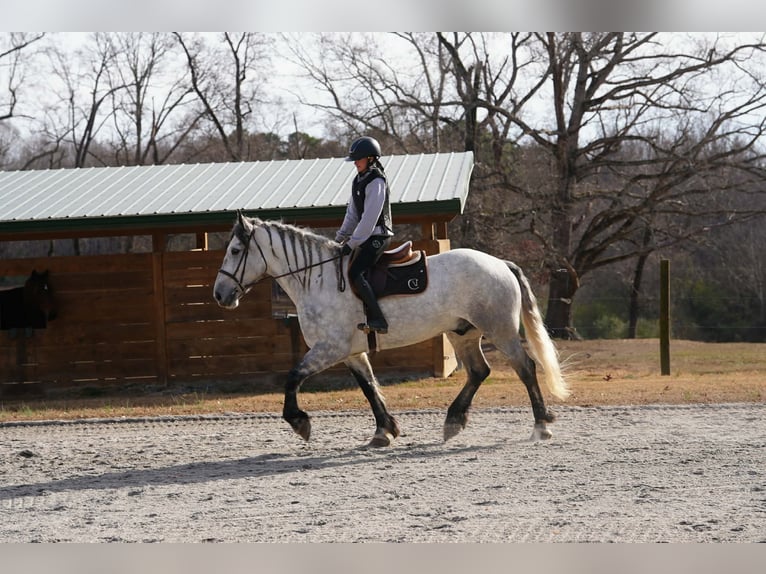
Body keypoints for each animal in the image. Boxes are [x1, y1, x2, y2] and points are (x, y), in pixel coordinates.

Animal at [213, 213, 569, 446]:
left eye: (235, 251)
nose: (219, 294)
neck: (318, 279)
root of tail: (500, 263)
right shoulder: (352, 353)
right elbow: (369, 387)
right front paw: (384, 430)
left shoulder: (329, 349)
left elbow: (292, 377)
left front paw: (299, 422)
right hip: (463, 334)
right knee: (479, 372)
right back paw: (454, 421)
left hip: (500, 331)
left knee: (526, 368)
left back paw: (541, 426)